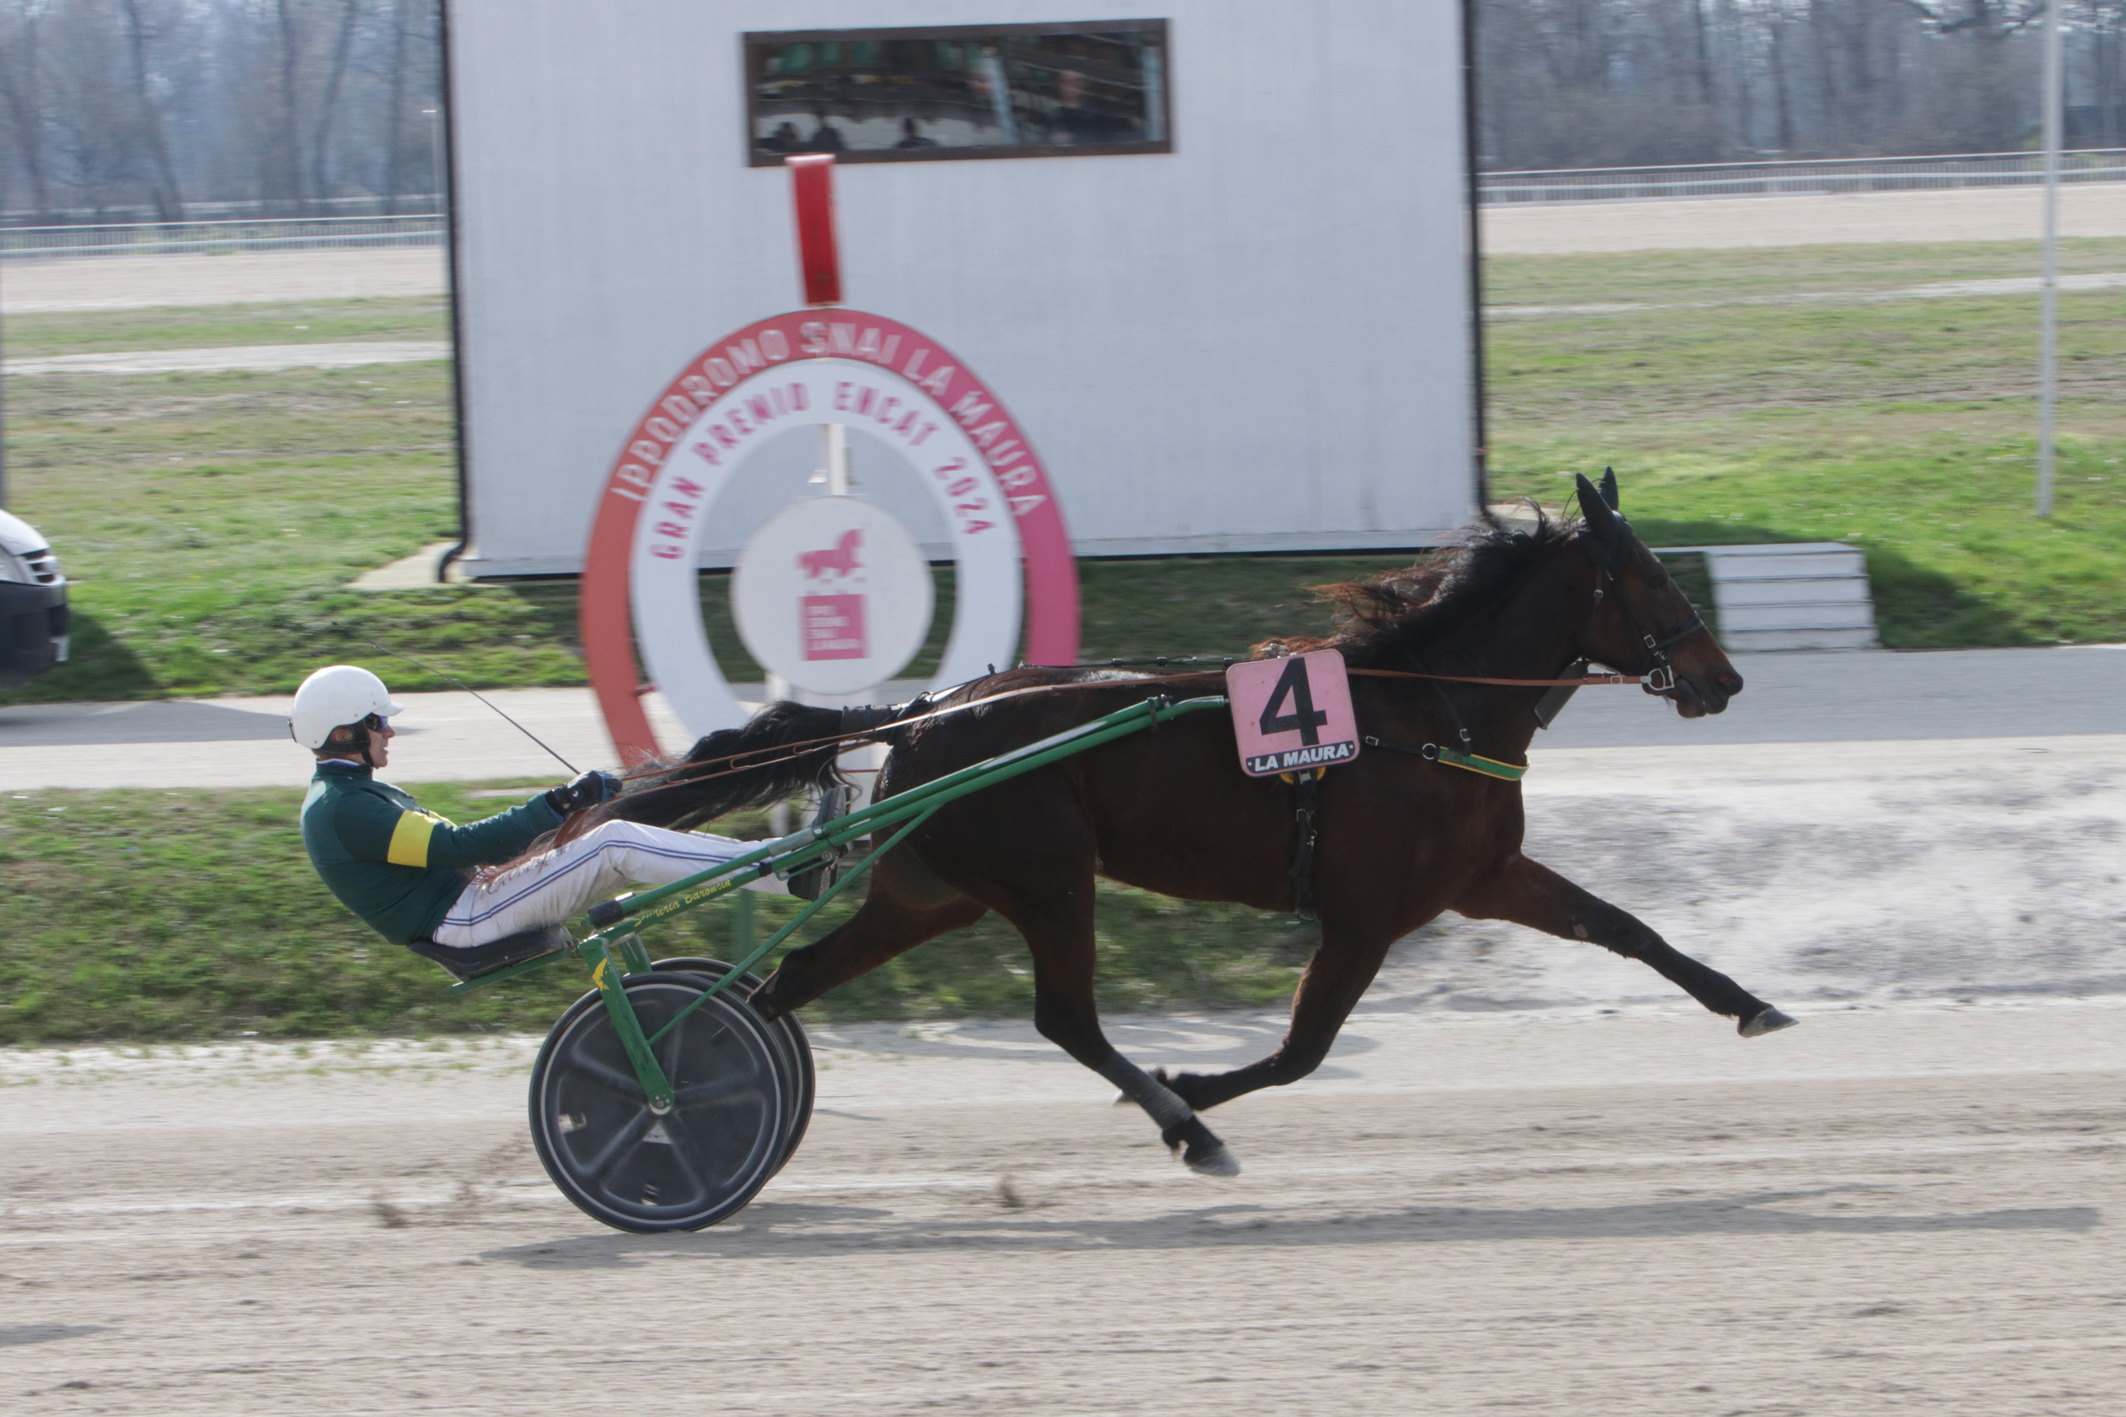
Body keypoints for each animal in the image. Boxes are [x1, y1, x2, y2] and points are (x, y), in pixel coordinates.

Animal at [595, 473, 1794, 1172]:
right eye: (1649, 577)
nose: (1724, 678)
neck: (1426, 709)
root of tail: (916, 713)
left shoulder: (1483, 874)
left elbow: (1628, 929)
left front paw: (1751, 1006)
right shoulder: (1365, 914)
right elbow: (1303, 1049)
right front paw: (1193, 1086)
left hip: (929, 894)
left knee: (777, 988)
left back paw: (699, 1091)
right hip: (1047, 878)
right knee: (1063, 1019)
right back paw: (1187, 1125)